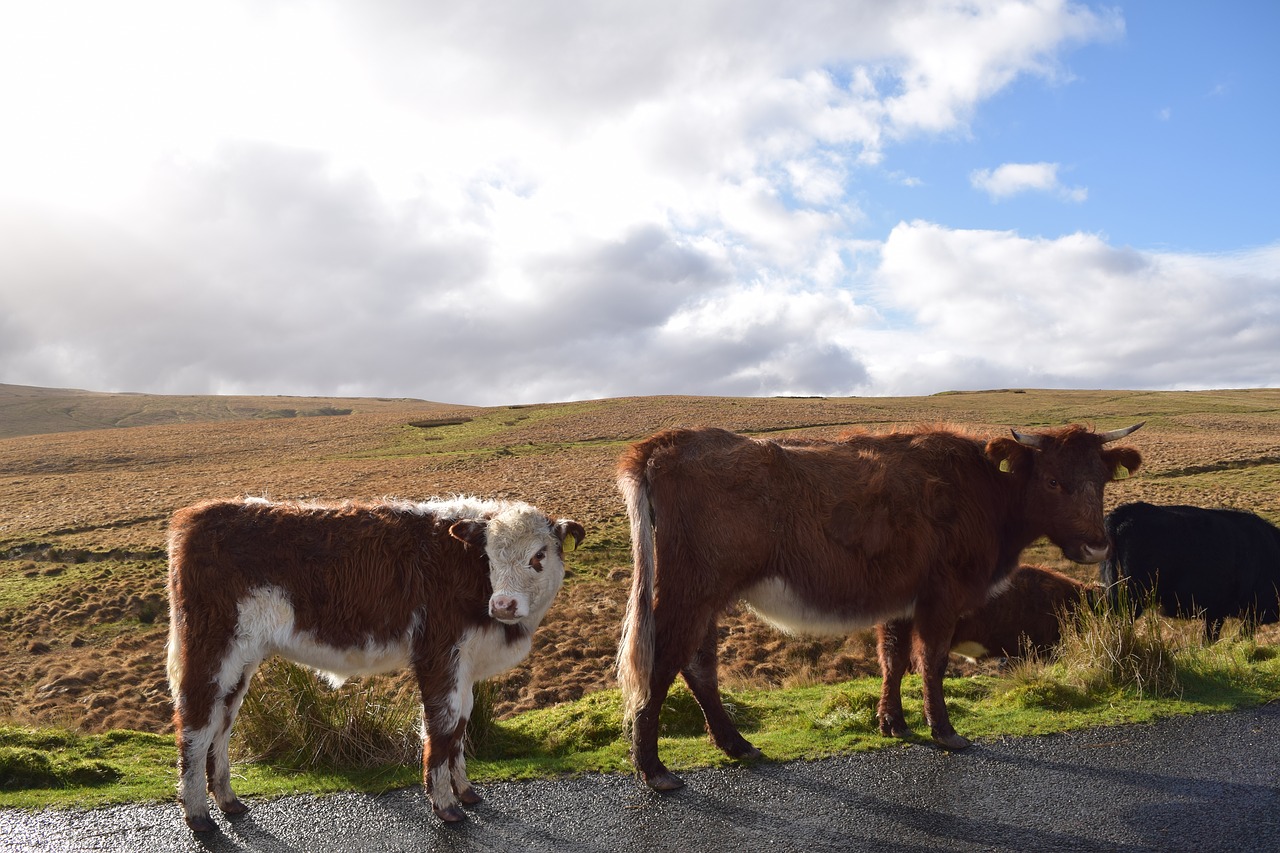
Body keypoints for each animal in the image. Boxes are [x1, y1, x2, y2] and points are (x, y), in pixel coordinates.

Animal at [166, 494, 586, 824]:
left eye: (539, 555)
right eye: (488, 555)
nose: (503, 604)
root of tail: (198, 514)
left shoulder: (465, 665)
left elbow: (461, 725)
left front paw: (465, 791)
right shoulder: (438, 655)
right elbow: (442, 727)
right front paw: (446, 806)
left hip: (241, 660)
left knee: (222, 723)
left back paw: (228, 800)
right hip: (211, 649)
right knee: (196, 724)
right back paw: (198, 815)